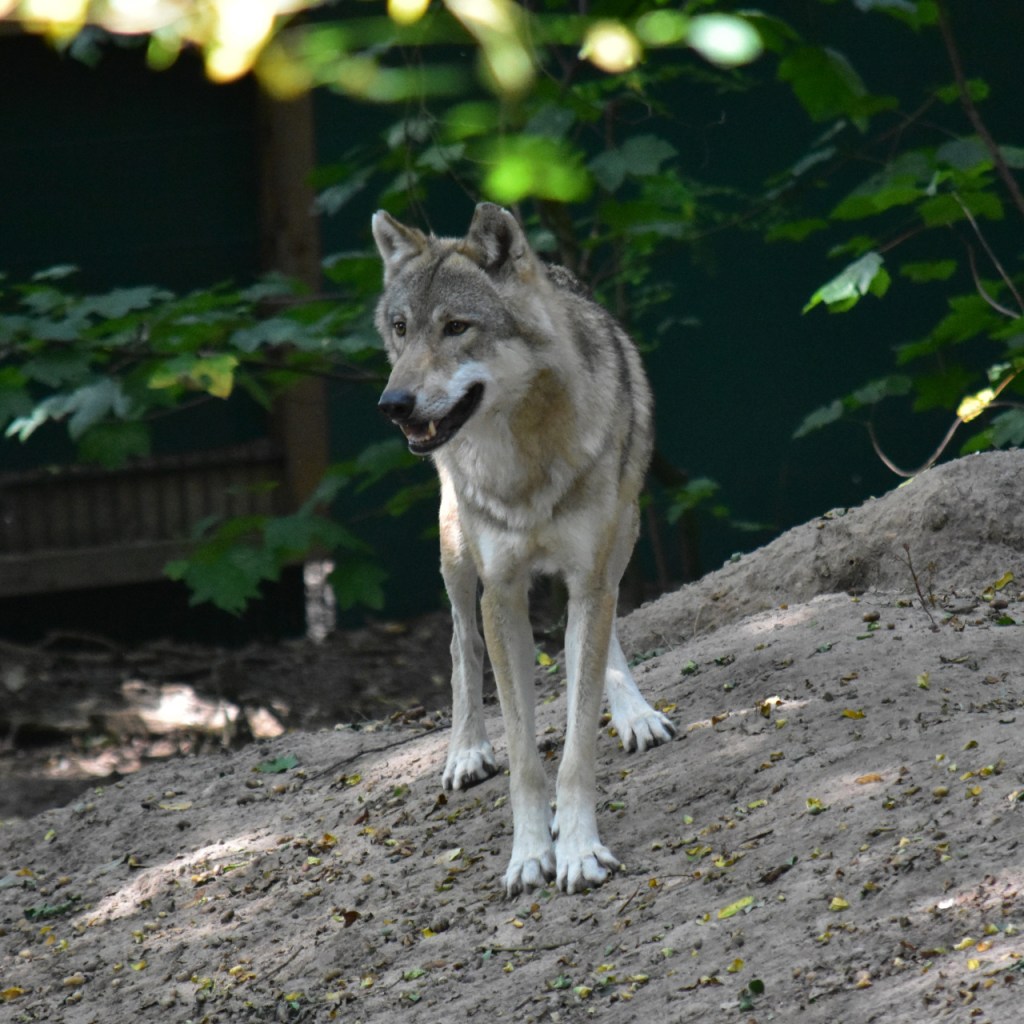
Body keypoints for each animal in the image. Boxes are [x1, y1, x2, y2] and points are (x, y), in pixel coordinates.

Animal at [372, 203, 675, 895]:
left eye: (457, 327)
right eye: (402, 328)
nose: (393, 405)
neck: (525, 461)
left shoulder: (590, 573)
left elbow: (576, 743)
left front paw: (579, 848)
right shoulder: (501, 593)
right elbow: (523, 755)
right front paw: (531, 853)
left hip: (624, 531)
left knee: (601, 636)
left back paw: (633, 711)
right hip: (456, 550)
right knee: (459, 644)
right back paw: (465, 751)